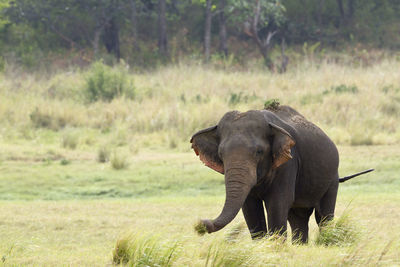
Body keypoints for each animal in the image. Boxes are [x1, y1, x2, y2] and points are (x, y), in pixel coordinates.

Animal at [191, 105, 372, 244]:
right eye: (221, 154)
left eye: (259, 152)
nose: (200, 224)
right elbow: (250, 207)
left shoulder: (288, 162)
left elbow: (277, 203)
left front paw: (274, 248)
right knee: (298, 218)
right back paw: (300, 246)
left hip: (332, 179)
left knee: (323, 217)